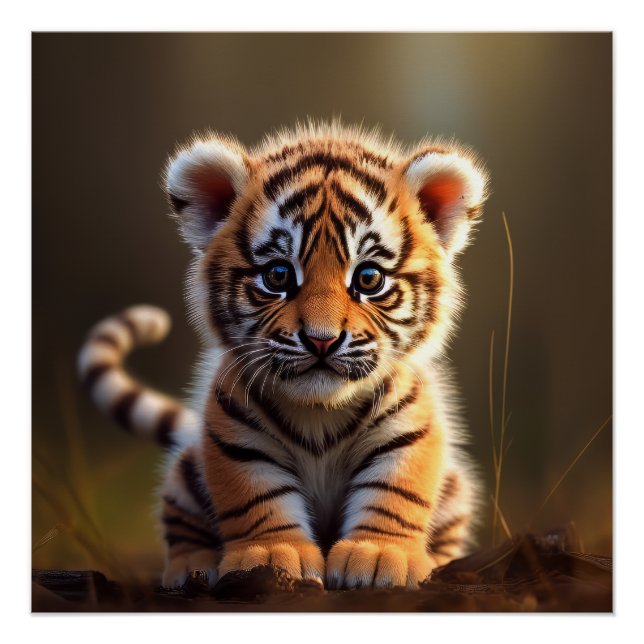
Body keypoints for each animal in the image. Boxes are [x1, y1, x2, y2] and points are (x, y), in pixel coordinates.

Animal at [78, 121, 489, 591]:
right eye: (277, 275)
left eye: (368, 278)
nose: (322, 340)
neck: (321, 411)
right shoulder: (235, 435)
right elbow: (256, 499)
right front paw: (273, 556)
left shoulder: (410, 430)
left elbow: (396, 492)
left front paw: (380, 556)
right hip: (184, 473)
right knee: (182, 526)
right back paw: (191, 568)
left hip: (456, 486)